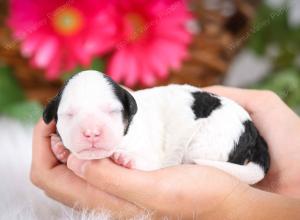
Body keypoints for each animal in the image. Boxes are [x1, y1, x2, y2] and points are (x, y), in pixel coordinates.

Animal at [42, 70, 270, 184]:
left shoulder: (152, 154)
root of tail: (254, 131)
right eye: (69, 114)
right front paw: (59, 148)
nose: (91, 133)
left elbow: (149, 163)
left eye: (112, 111)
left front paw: (127, 158)